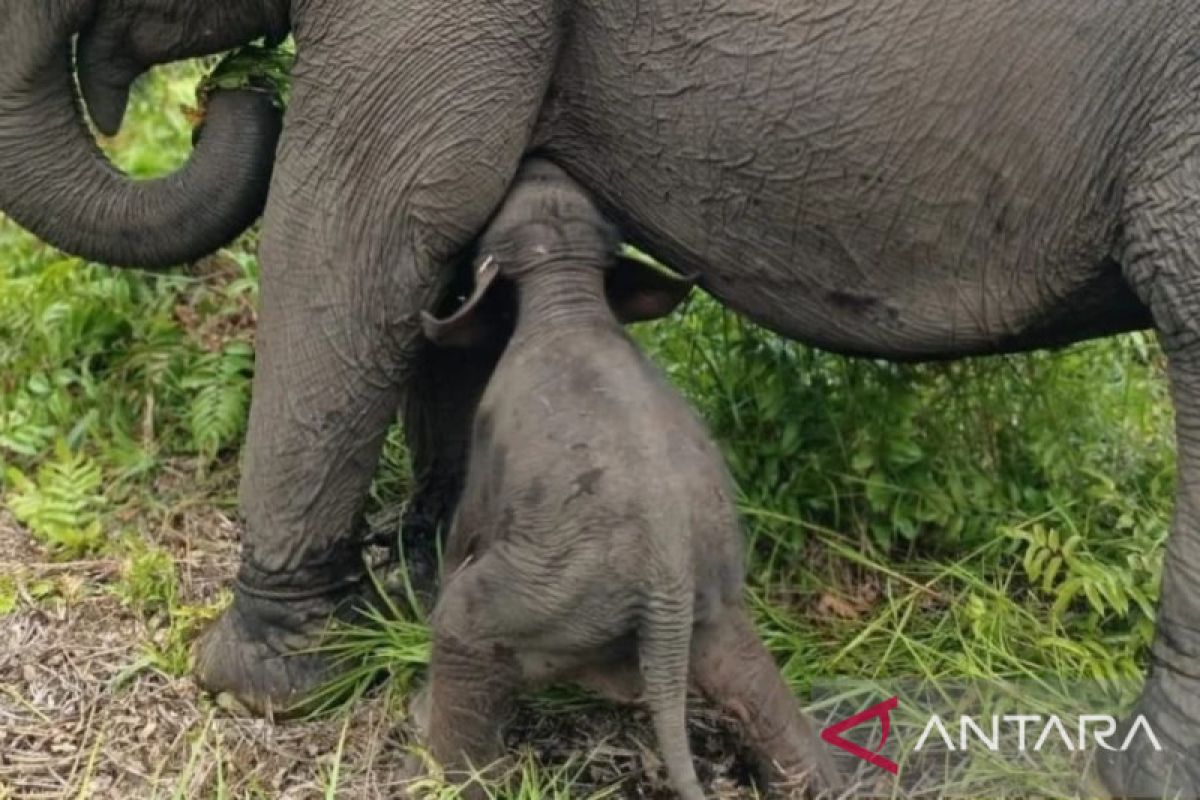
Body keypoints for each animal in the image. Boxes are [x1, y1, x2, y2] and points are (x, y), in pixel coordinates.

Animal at [417, 159, 840, 796]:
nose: (537, 159)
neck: (566, 288)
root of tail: (666, 587)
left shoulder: (489, 441)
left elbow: (465, 529)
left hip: (547, 600)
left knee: (462, 622)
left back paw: (434, 761)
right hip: (714, 609)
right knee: (755, 683)